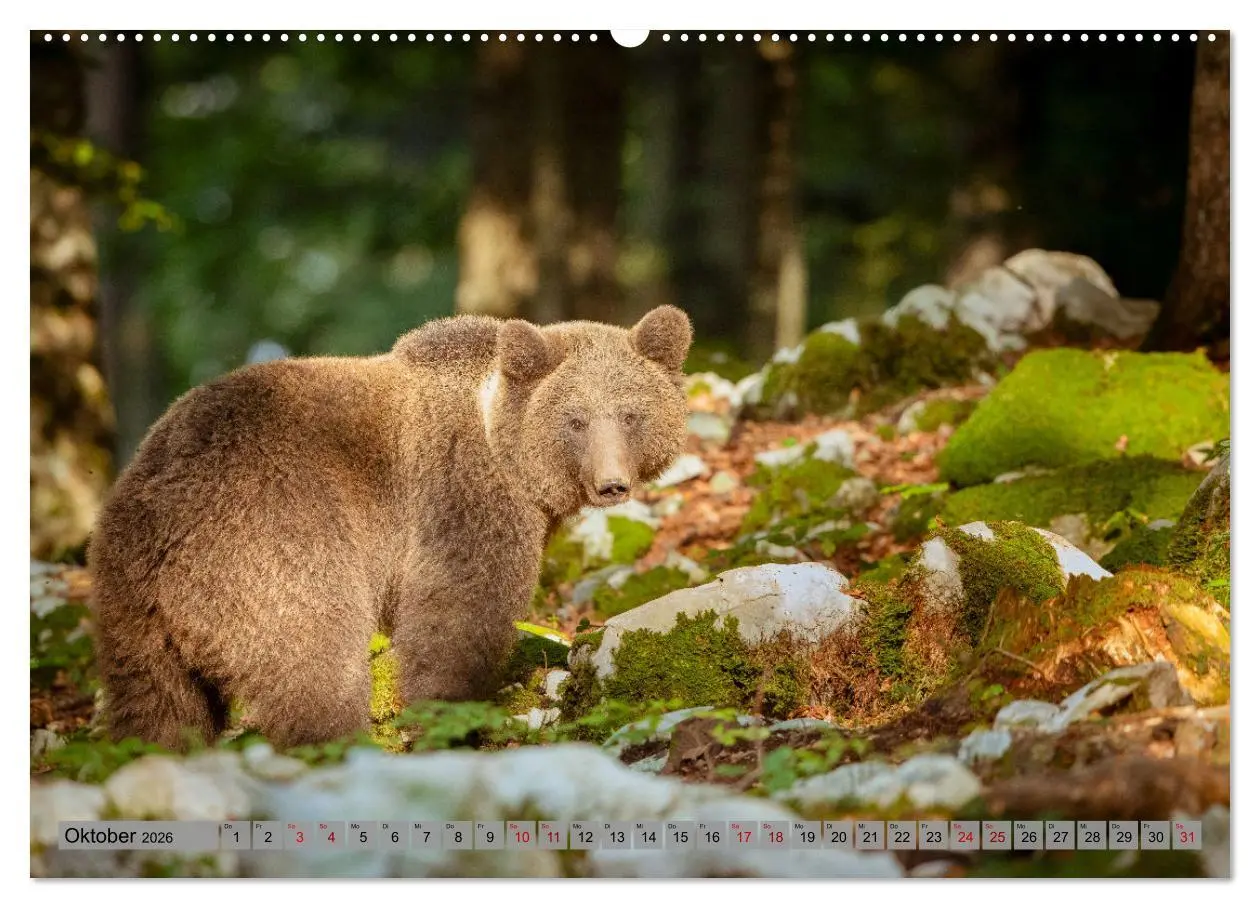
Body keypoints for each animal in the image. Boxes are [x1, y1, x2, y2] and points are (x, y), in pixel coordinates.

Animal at [88, 305, 693, 749]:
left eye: (632, 414)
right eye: (576, 419)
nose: (612, 484)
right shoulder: (460, 498)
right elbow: (457, 617)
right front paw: (447, 719)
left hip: (129, 609)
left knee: (159, 707)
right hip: (271, 548)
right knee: (315, 666)